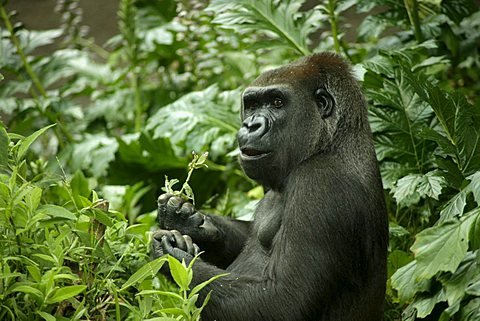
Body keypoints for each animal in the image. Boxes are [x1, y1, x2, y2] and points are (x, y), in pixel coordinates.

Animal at [152, 53, 388, 320]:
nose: (250, 125)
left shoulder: (321, 183)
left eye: (277, 102)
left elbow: (282, 301)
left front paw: (172, 256)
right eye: (252, 105)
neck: (331, 142)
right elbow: (247, 234)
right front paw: (187, 220)